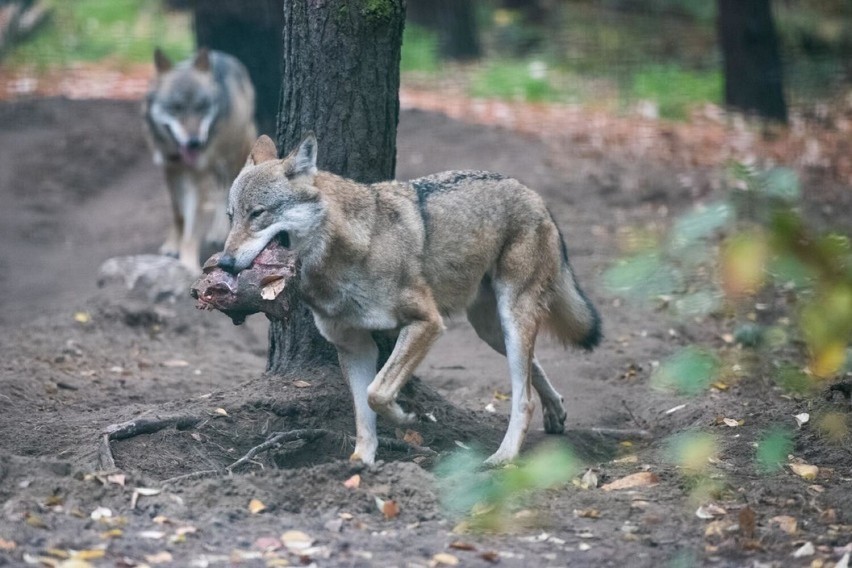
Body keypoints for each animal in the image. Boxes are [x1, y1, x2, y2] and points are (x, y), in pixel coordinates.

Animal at [143, 46, 255, 272]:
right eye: (175, 107)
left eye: (202, 106)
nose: (195, 143)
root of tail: (222, 54)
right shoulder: (170, 170)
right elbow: (178, 215)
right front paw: (172, 245)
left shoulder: (196, 176)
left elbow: (192, 227)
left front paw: (187, 264)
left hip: (232, 155)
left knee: (228, 190)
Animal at [216, 134, 604, 466]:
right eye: (231, 217)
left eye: (258, 213)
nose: (224, 263)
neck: (351, 252)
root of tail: (533, 194)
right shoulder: (354, 346)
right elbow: (363, 412)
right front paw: (361, 463)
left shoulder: (427, 323)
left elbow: (377, 393)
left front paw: (406, 417)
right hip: (492, 331)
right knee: (533, 367)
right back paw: (556, 412)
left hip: (511, 316)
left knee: (523, 398)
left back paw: (503, 457)